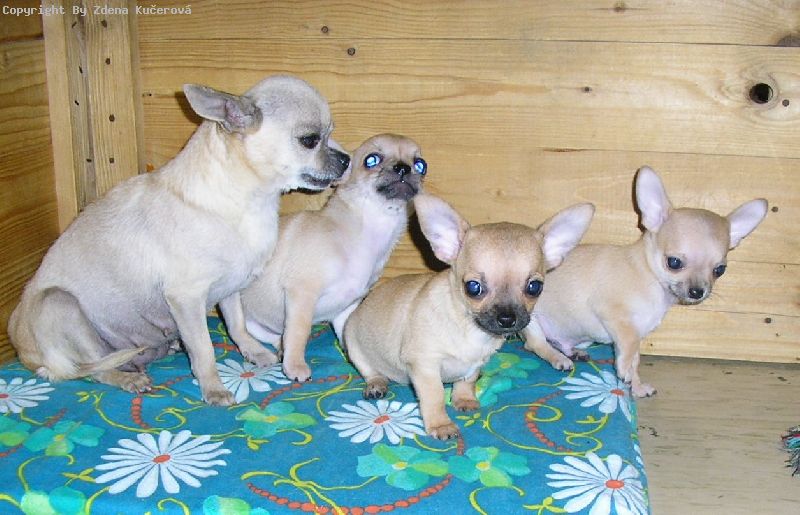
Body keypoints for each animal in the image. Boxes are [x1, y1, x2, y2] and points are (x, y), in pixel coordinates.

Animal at [8, 75, 350, 405]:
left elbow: (236, 324)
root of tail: (27, 356)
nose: (346, 158)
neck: (248, 201)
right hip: (59, 303)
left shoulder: (231, 288)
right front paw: (213, 388)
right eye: (310, 140)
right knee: (94, 369)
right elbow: (204, 349)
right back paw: (127, 378)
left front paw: (254, 352)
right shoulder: (187, 298)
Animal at [230, 133, 427, 382]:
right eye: (371, 160)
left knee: (270, 335)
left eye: (421, 165)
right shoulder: (302, 294)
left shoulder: (346, 309)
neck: (369, 229)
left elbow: (348, 335)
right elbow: (299, 331)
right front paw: (295, 366)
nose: (403, 167)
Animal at [343, 193, 594, 439]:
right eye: (473, 287)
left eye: (535, 287)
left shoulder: (475, 364)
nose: (507, 318)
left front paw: (464, 400)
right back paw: (377, 384)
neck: (469, 329)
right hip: (353, 345)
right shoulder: (425, 365)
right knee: (370, 371)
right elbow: (434, 396)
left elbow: (467, 381)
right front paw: (441, 424)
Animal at [522, 166, 768, 398]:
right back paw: (558, 358)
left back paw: (572, 351)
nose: (698, 291)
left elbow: (635, 360)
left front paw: (636, 387)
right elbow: (630, 348)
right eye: (674, 262)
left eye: (720, 270)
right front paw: (623, 371)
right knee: (535, 344)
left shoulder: (636, 331)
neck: (649, 277)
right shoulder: (615, 316)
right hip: (531, 319)